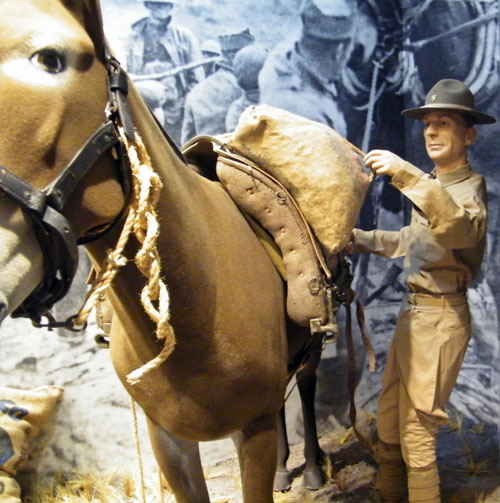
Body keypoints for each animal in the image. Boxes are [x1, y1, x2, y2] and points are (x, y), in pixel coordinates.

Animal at [0, 1, 368, 502]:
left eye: (50, 59)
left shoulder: (251, 431)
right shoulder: (169, 440)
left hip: (312, 342)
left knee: (306, 385)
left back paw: (310, 468)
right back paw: (283, 471)